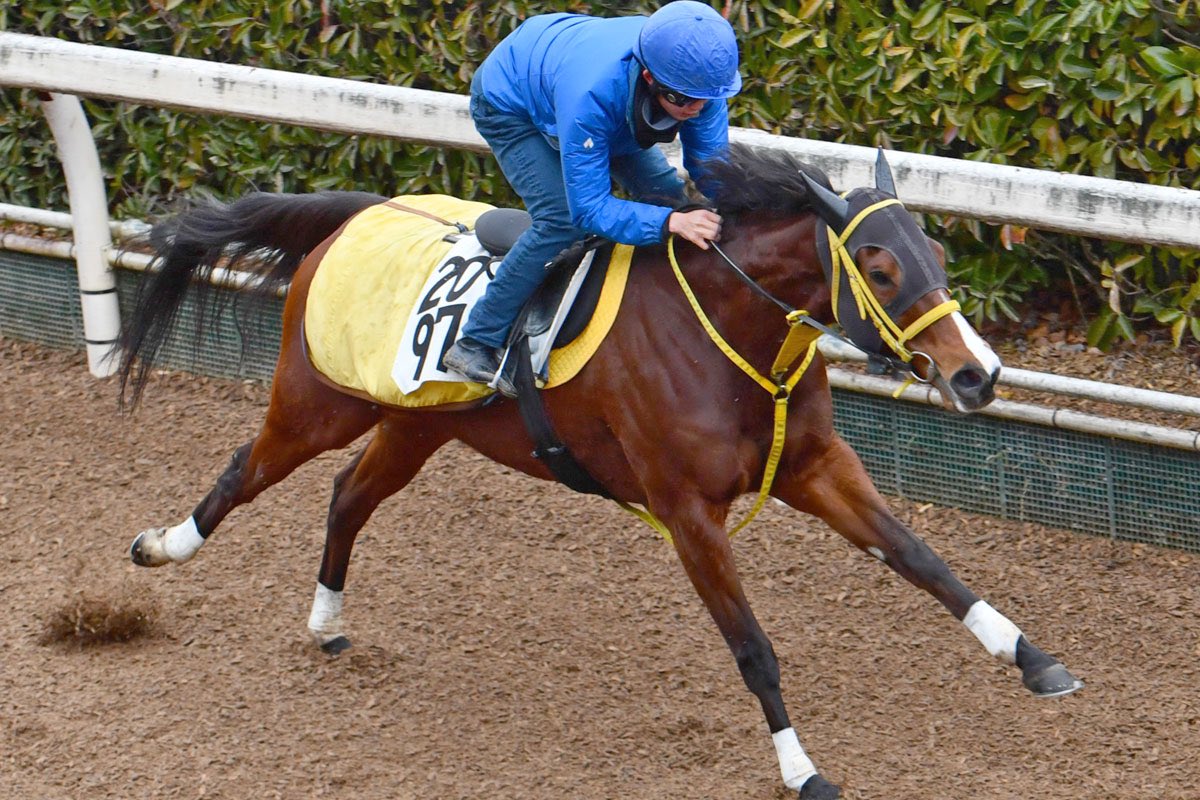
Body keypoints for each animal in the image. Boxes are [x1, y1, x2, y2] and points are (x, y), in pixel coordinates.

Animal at [116, 144, 1082, 799]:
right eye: (879, 267)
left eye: (939, 258)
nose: (979, 375)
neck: (723, 333)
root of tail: (359, 213)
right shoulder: (687, 510)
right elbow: (753, 647)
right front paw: (801, 766)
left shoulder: (814, 466)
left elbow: (922, 560)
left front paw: (1033, 659)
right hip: (321, 402)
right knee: (247, 468)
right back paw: (162, 546)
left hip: (418, 424)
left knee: (348, 494)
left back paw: (326, 622)